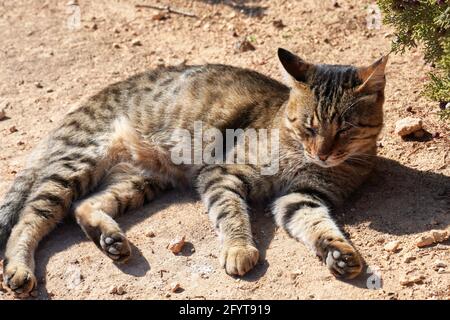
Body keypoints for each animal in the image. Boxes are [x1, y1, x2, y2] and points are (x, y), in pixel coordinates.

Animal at [0, 48, 386, 296]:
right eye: (309, 126)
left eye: (345, 129)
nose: (322, 152)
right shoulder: (223, 173)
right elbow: (231, 213)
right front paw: (239, 248)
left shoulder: (303, 196)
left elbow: (318, 225)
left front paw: (338, 251)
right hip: (76, 165)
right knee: (29, 219)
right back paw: (19, 268)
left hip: (139, 181)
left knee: (83, 206)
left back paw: (110, 240)